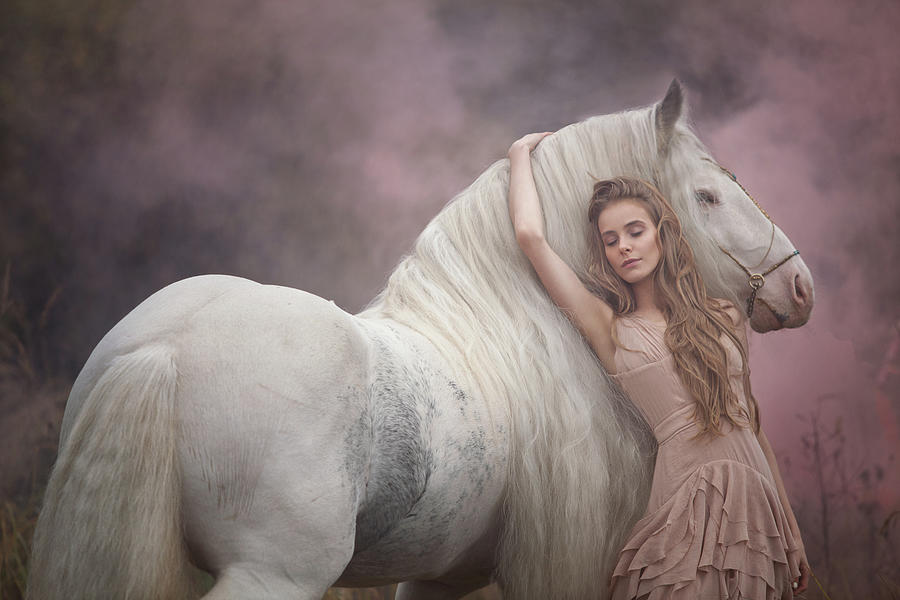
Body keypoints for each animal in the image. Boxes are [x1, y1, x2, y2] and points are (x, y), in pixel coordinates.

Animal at [28, 82, 816, 600]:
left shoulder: (442, 577)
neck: (522, 328)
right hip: (272, 576)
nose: (798, 285)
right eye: (708, 196)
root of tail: (163, 348)